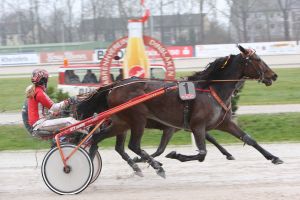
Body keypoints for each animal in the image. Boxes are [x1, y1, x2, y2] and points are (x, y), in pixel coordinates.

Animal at [87, 44, 282, 177]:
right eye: (257, 60)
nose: (273, 75)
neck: (211, 89)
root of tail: (114, 87)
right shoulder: (197, 126)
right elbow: (202, 153)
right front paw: (176, 155)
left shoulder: (224, 123)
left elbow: (249, 139)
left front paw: (274, 157)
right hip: (137, 120)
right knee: (133, 145)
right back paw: (156, 167)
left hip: (121, 122)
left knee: (98, 139)